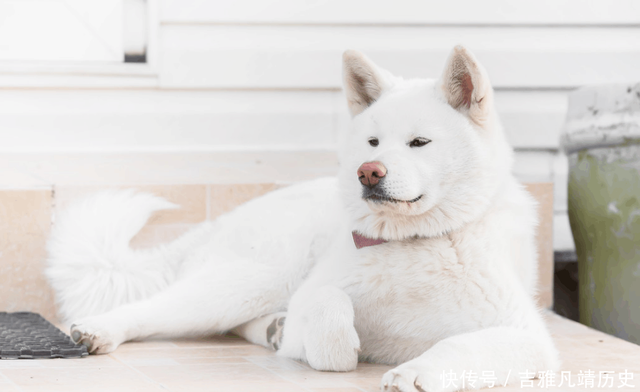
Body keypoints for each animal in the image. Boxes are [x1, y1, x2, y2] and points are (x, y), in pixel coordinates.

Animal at [48, 46, 560, 392]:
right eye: (373, 143)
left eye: (419, 143)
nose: (368, 172)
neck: (412, 243)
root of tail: (221, 222)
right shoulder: (316, 302)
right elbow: (326, 304)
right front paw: (341, 346)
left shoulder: (528, 336)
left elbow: (458, 345)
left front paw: (417, 371)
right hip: (254, 279)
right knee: (153, 311)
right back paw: (100, 330)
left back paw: (268, 329)